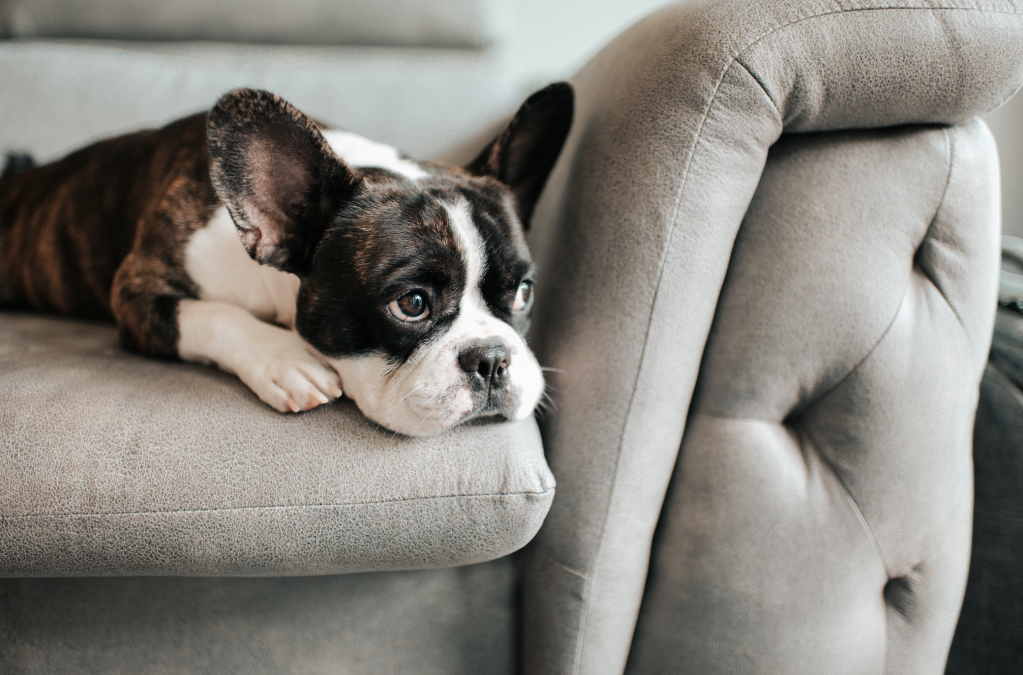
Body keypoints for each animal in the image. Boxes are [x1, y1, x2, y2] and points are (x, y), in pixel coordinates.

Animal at [0, 81, 576, 435]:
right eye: (411, 304)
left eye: (523, 293)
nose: (492, 358)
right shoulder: (137, 290)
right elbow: (214, 314)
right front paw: (284, 360)